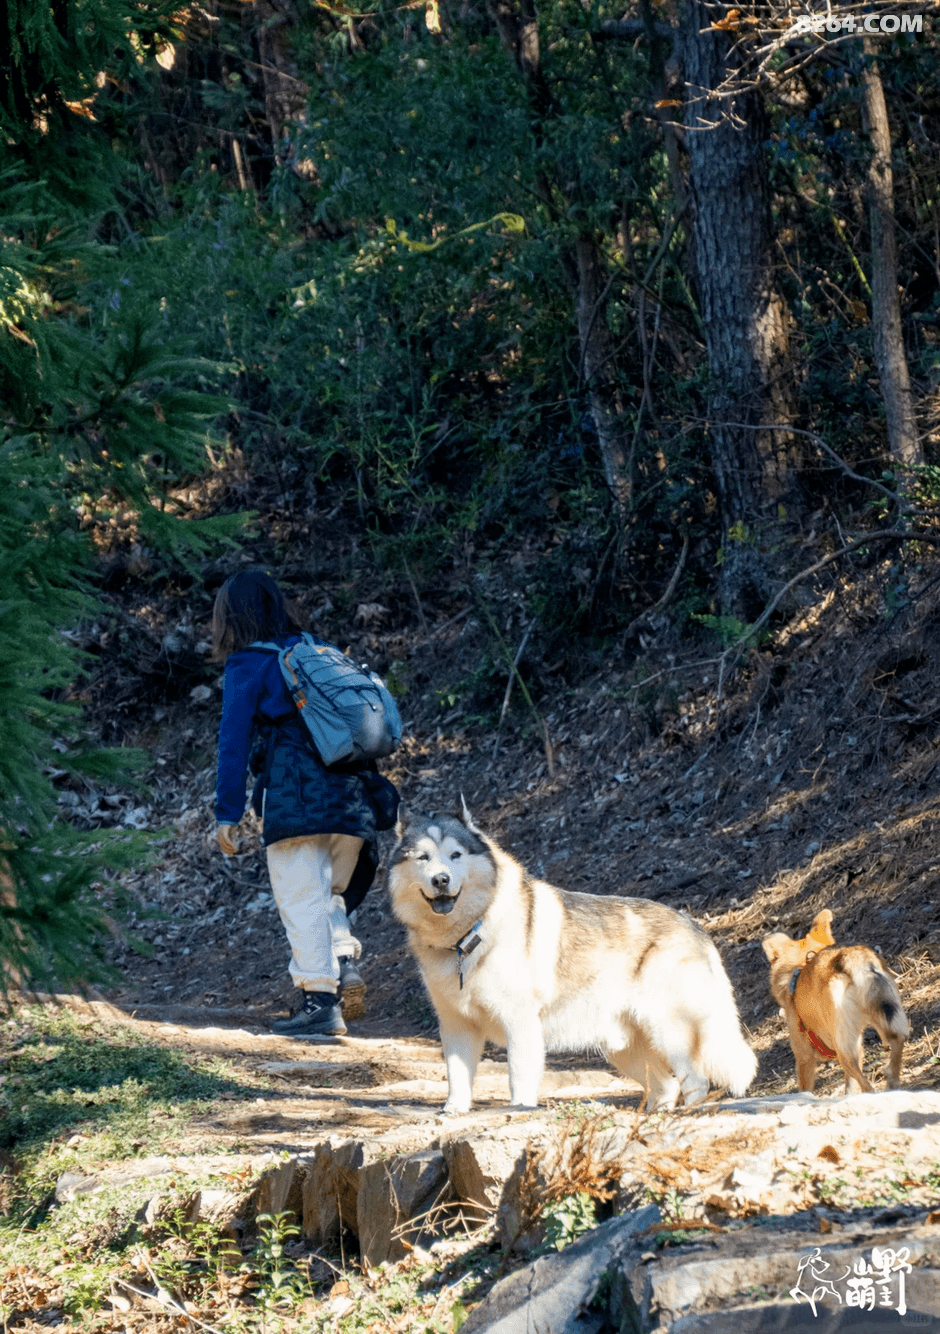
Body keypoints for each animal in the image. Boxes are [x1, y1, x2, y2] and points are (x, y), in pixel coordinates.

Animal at [387, 805, 756, 1115]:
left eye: (455, 855)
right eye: (423, 858)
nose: (441, 879)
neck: (467, 937)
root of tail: (695, 926)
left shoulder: (520, 1022)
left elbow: (518, 1076)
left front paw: (519, 1109)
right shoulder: (456, 1027)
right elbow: (457, 1078)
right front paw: (453, 1112)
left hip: (669, 1032)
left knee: (696, 1082)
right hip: (624, 1050)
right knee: (666, 1087)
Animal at [762, 911, 909, 1094]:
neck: (801, 965)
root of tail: (849, 958)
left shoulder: (804, 1057)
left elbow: (805, 1088)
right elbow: (850, 1086)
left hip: (844, 1048)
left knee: (865, 1083)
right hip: (884, 1019)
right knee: (897, 1042)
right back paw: (892, 1081)